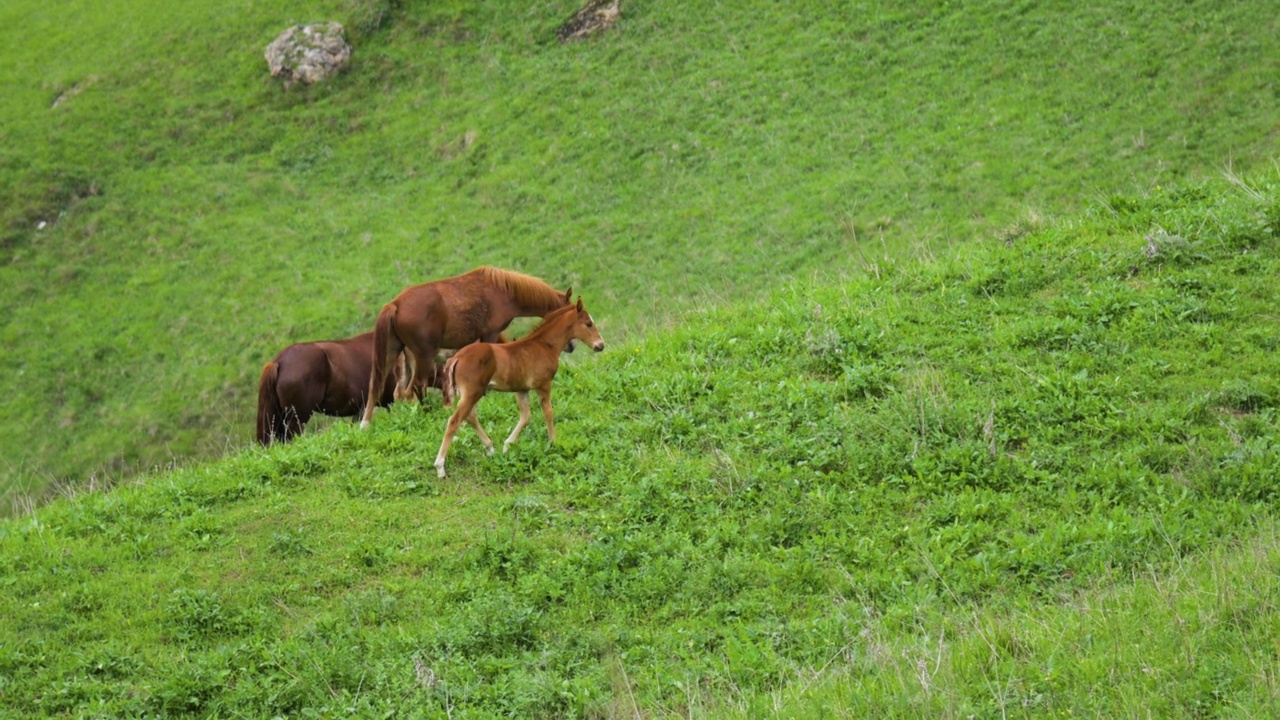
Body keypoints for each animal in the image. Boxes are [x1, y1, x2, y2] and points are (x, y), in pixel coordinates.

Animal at [355, 266, 565, 427]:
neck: (503, 289)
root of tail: (395, 304)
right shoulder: (490, 333)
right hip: (424, 355)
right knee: (415, 386)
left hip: (393, 353)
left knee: (379, 387)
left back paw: (366, 424)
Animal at [435, 295, 604, 476]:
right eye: (588, 323)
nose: (600, 345)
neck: (544, 344)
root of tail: (457, 357)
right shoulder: (543, 385)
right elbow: (548, 412)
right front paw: (553, 442)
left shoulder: (521, 389)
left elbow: (526, 416)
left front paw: (507, 446)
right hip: (472, 393)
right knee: (455, 420)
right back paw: (440, 467)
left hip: (470, 393)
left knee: (470, 416)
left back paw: (490, 448)